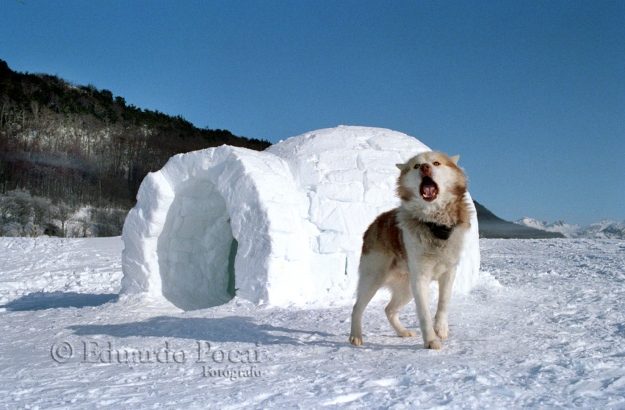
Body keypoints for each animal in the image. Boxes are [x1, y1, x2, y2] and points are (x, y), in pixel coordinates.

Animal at [348, 151, 470, 350]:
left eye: (436, 163)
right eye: (416, 166)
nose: (425, 167)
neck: (434, 224)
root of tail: (373, 223)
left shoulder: (449, 271)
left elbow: (444, 303)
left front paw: (441, 328)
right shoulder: (420, 278)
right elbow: (424, 313)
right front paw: (430, 340)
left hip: (406, 288)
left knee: (389, 310)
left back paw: (402, 332)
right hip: (373, 279)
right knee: (357, 308)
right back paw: (355, 336)